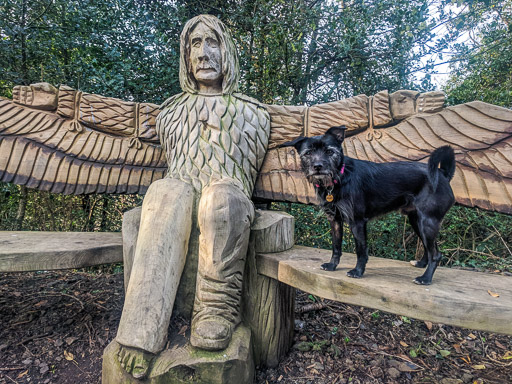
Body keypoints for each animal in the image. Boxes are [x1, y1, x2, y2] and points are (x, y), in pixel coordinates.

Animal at [284, 126, 456, 284]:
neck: (340, 178)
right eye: (308, 153)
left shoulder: (357, 221)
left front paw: (357, 271)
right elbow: (336, 246)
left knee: (436, 254)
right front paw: (332, 265)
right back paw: (421, 264)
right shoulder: (335, 219)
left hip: (428, 222)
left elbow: (361, 250)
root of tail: (443, 174)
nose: (318, 166)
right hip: (416, 221)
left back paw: (425, 278)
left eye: (329, 151)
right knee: (429, 248)